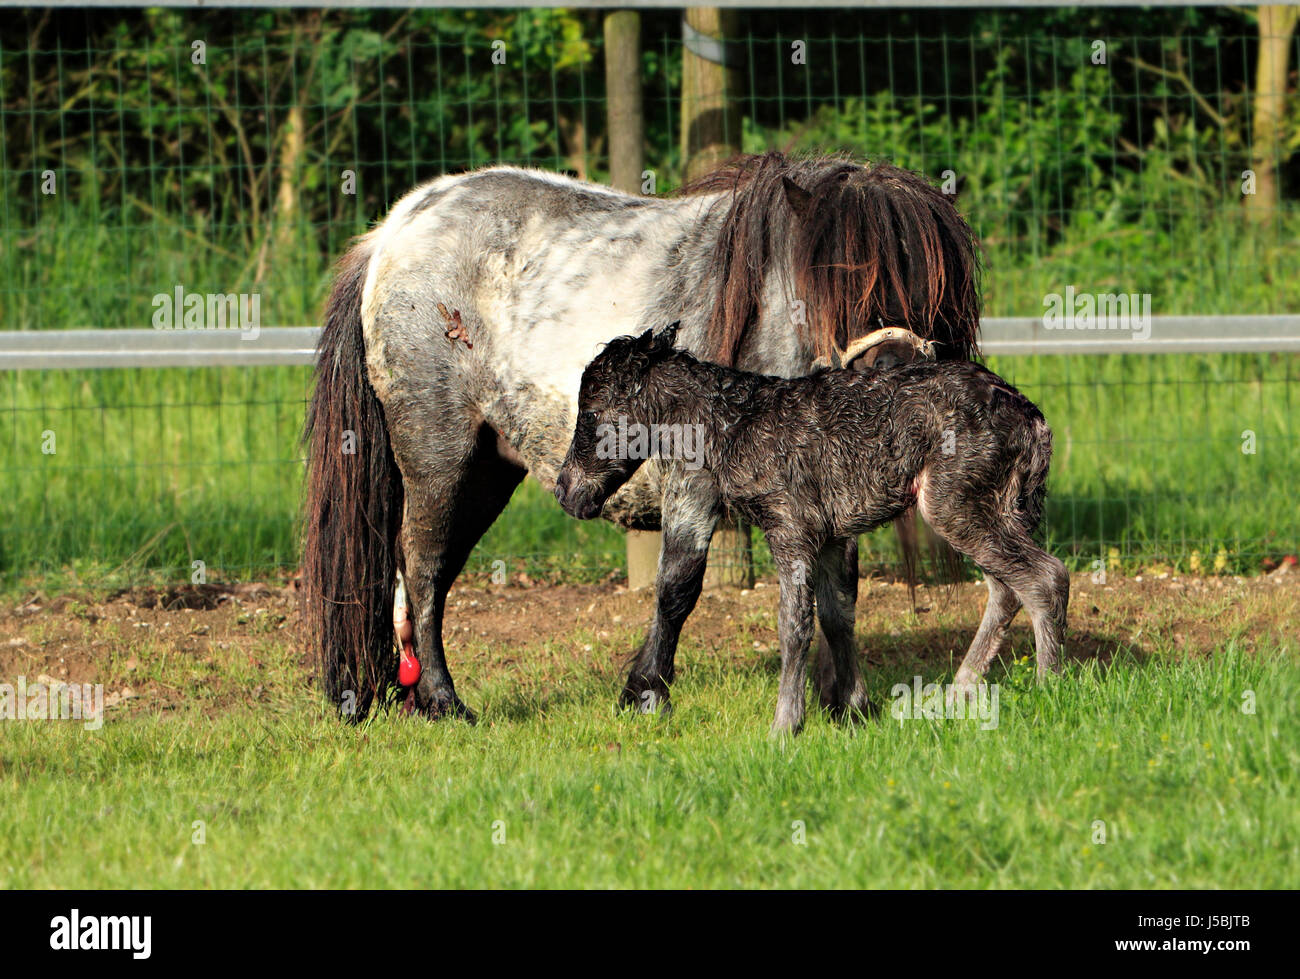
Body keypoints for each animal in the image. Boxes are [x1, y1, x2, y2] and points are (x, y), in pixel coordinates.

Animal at [301, 150, 977, 717]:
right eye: (836, 283)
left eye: (933, 288)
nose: (895, 371)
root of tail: (394, 229)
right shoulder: (692, 482)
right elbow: (679, 582)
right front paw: (645, 690)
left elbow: (840, 596)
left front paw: (850, 703)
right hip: (438, 458)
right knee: (422, 567)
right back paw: (445, 701)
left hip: (488, 471)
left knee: (431, 578)